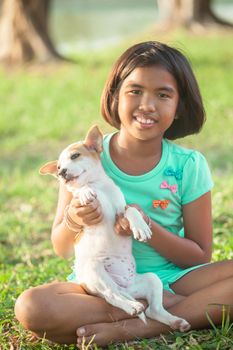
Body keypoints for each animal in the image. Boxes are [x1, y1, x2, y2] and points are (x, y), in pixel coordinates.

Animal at [39, 126, 190, 330]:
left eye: (75, 156)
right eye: (57, 167)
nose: (61, 172)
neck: (97, 186)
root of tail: (122, 287)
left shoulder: (121, 209)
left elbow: (132, 210)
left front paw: (141, 227)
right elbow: (79, 191)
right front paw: (84, 192)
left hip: (150, 279)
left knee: (152, 309)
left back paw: (176, 321)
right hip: (96, 271)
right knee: (111, 297)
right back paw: (132, 307)